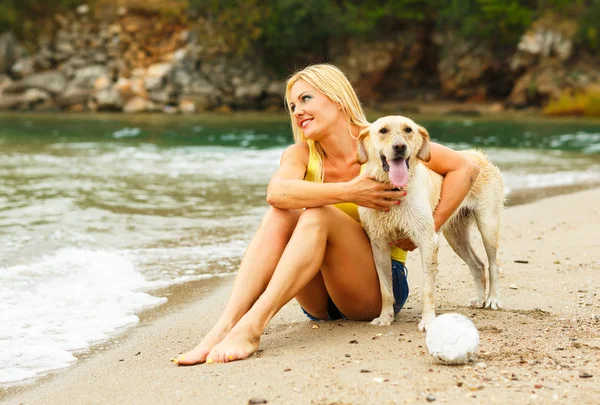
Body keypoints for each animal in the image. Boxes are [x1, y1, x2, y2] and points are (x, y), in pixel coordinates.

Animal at [356, 115, 506, 330]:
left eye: (408, 130)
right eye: (383, 130)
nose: (400, 147)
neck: (394, 189)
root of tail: (477, 155)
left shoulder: (428, 241)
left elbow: (427, 288)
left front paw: (428, 321)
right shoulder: (378, 245)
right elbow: (385, 288)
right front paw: (385, 317)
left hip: (488, 225)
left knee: (493, 264)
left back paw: (493, 299)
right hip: (455, 236)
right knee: (478, 265)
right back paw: (479, 299)